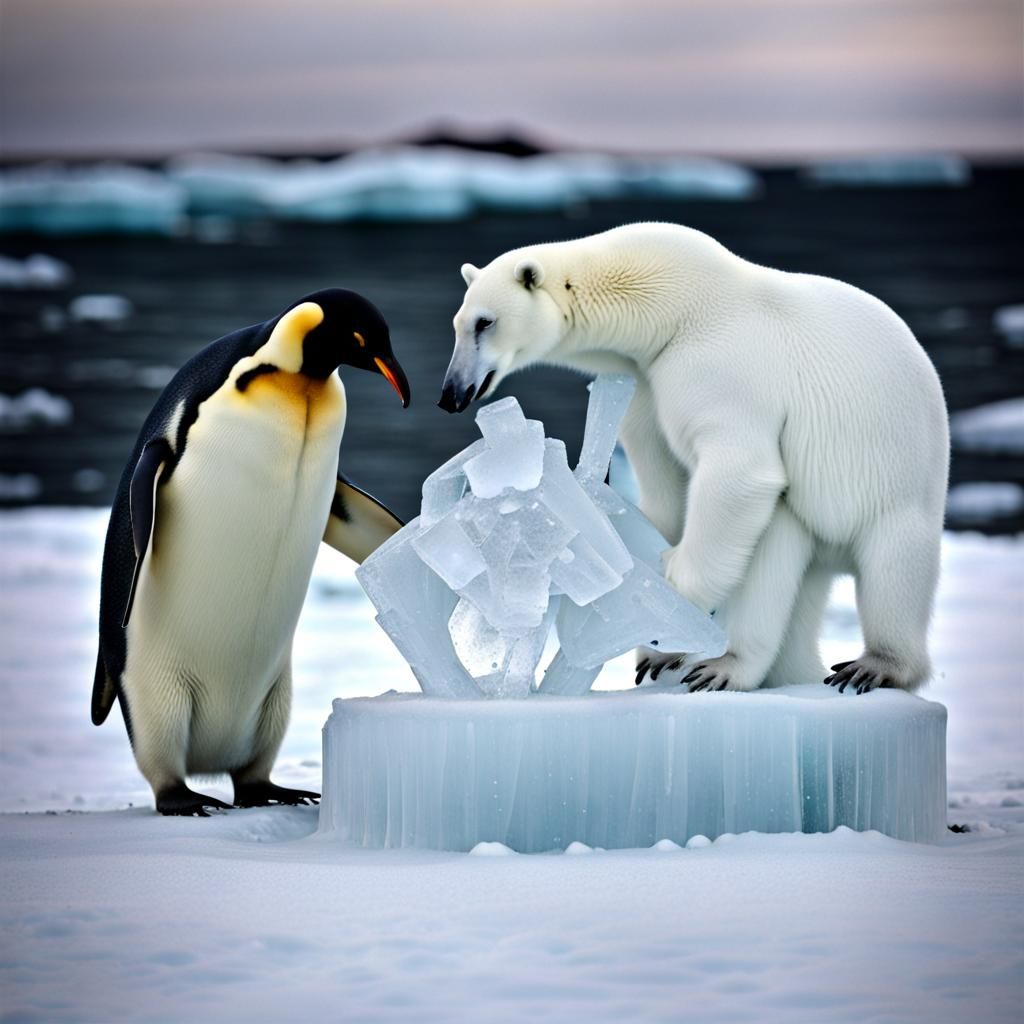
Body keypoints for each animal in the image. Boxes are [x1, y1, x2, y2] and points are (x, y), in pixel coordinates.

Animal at [440, 223, 949, 695]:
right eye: (458, 324)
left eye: (485, 322)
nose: (451, 394)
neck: (668, 304)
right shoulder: (644, 382)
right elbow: (666, 484)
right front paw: (654, 637)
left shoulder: (717, 366)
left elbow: (741, 471)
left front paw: (669, 589)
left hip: (893, 490)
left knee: (882, 566)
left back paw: (844, 665)